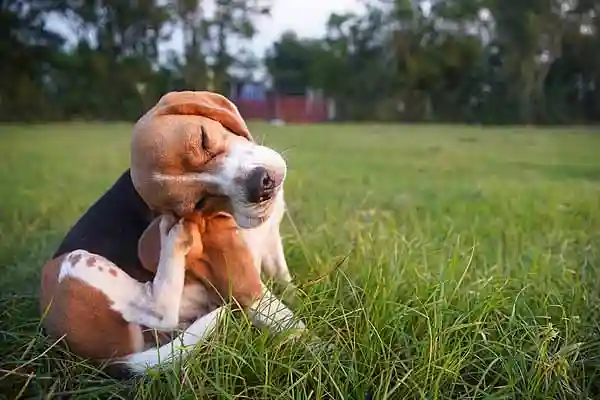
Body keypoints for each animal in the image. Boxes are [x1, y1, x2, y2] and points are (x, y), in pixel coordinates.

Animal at [38, 92, 304, 376]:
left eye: (203, 139)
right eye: (198, 203)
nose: (260, 185)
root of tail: (104, 361)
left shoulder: (271, 244)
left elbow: (286, 282)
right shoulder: (246, 287)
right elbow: (296, 326)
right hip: (75, 265)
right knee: (159, 309)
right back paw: (175, 237)